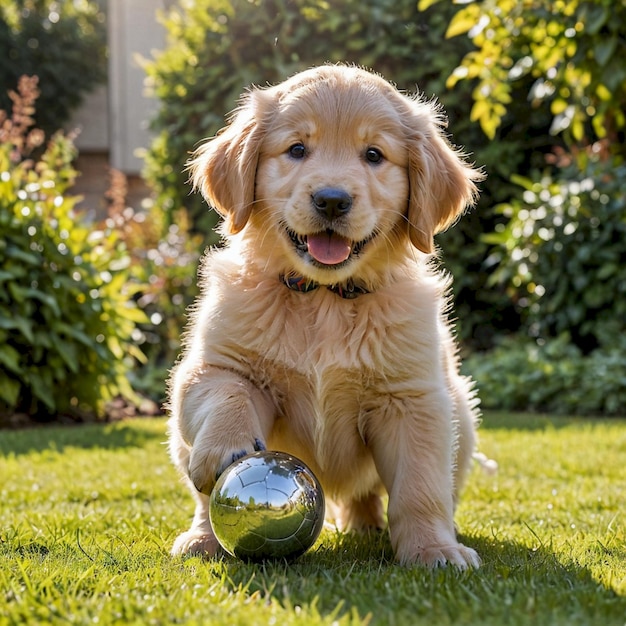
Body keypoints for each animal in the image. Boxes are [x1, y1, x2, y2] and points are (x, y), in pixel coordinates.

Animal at [166, 63, 482, 564]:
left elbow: (420, 486)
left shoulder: (414, 400)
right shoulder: (211, 365)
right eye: (297, 149)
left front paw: (433, 549)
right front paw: (226, 445)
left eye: (374, 155)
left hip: (462, 417)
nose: (332, 200)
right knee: (202, 500)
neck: (324, 299)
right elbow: (227, 391)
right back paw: (202, 539)